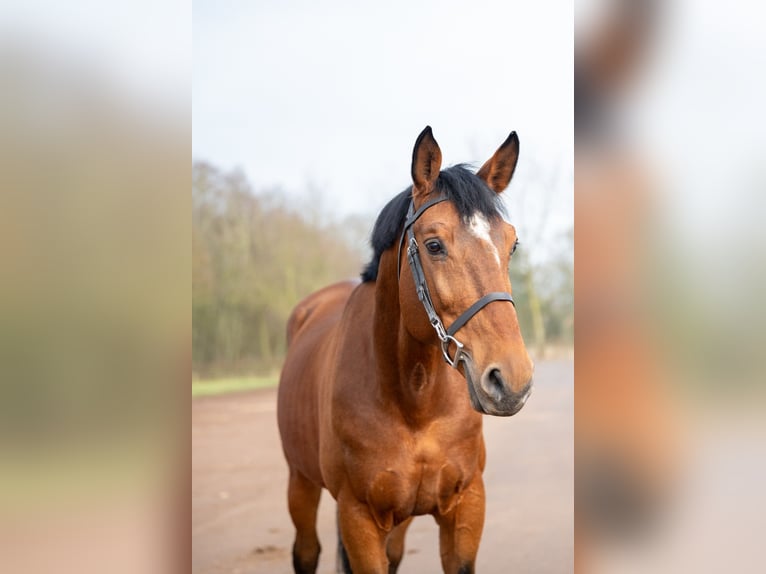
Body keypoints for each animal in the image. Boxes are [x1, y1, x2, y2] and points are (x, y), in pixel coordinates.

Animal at [276, 127, 536, 574]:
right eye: (433, 245)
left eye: (511, 244)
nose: (511, 380)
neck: (414, 404)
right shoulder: (358, 516)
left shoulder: (467, 506)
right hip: (301, 482)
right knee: (306, 551)